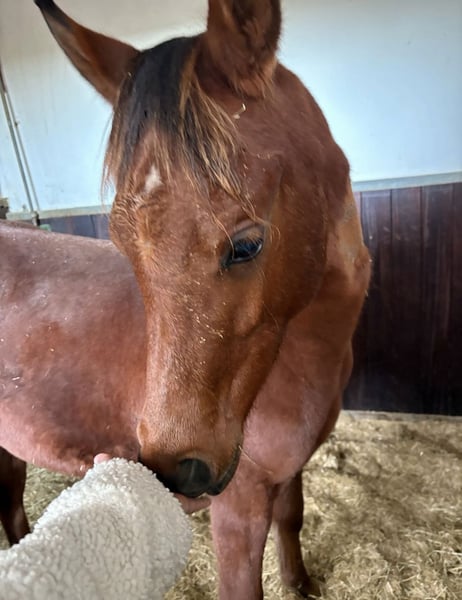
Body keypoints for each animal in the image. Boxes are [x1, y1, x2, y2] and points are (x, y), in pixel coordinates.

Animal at [0, 0, 371, 597]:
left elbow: (293, 519)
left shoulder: (290, 472)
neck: (305, 356)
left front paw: (301, 583)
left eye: (247, 245)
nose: (179, 469)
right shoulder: (239, 508)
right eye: (122, 241)